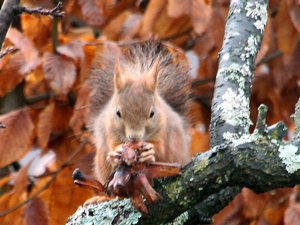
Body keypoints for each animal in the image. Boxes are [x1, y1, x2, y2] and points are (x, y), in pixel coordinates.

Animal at [88, 42, 192, 185]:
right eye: (118, 113)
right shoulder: (110, 130)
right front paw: (115, 153)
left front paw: (150, 153)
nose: (134, 136)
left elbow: (161, 152)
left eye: (152, 113)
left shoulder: (162, 131)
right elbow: (112, 146)